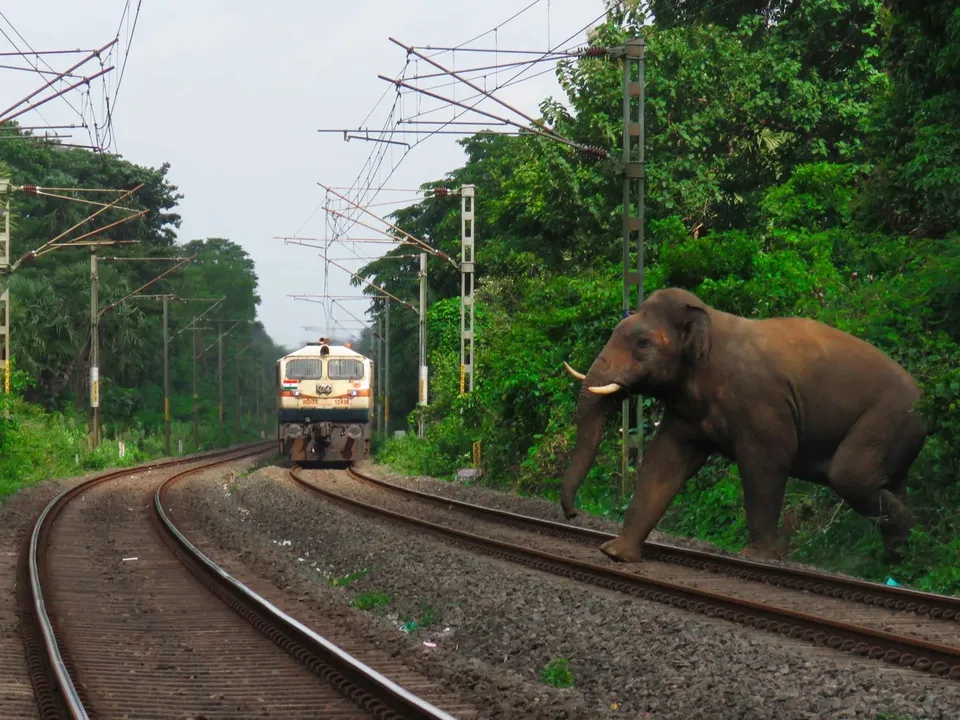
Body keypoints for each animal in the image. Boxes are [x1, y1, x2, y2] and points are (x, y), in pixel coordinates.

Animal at [561, 287, 927, 564]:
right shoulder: (687, 412)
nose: (573, 515)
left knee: (849, 475)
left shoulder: (761, 403)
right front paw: (616, 553)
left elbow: (766, 462)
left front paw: (756, 557)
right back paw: (902, 553)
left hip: (889, 419)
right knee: (886, 483)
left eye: (642, 344)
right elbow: (664, 462)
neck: (710, 319)